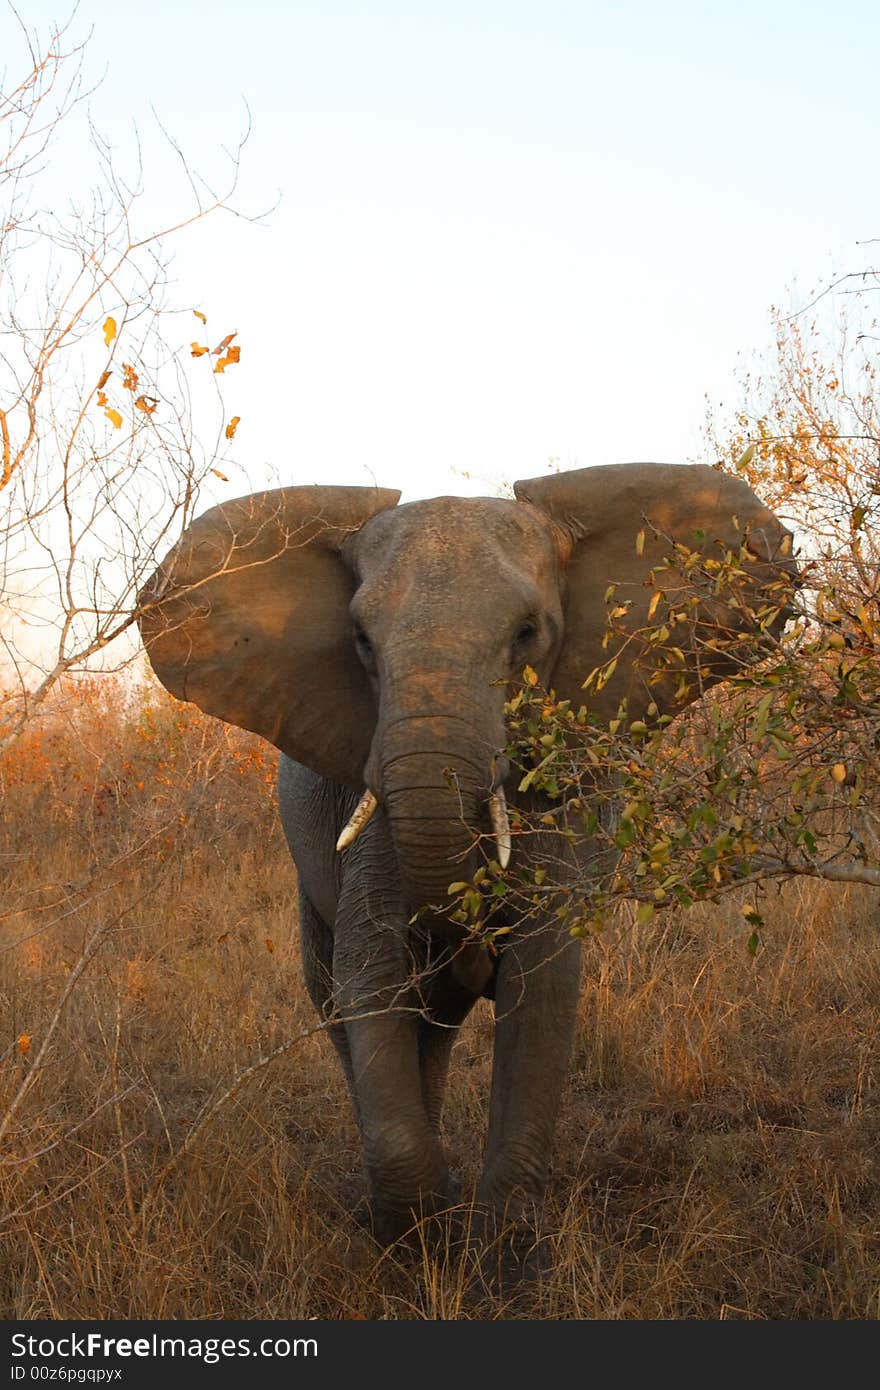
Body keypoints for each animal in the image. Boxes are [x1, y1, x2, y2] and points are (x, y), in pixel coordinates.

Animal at [139, 461, 795, 1273]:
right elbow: (370, 973)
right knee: (341, 1000)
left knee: (436, 1025)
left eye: (526, 635)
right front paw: (416, 1252)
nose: (466, 945)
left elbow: (541, 988)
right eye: (360, 640)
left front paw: (503, 1263)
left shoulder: (561, 804)